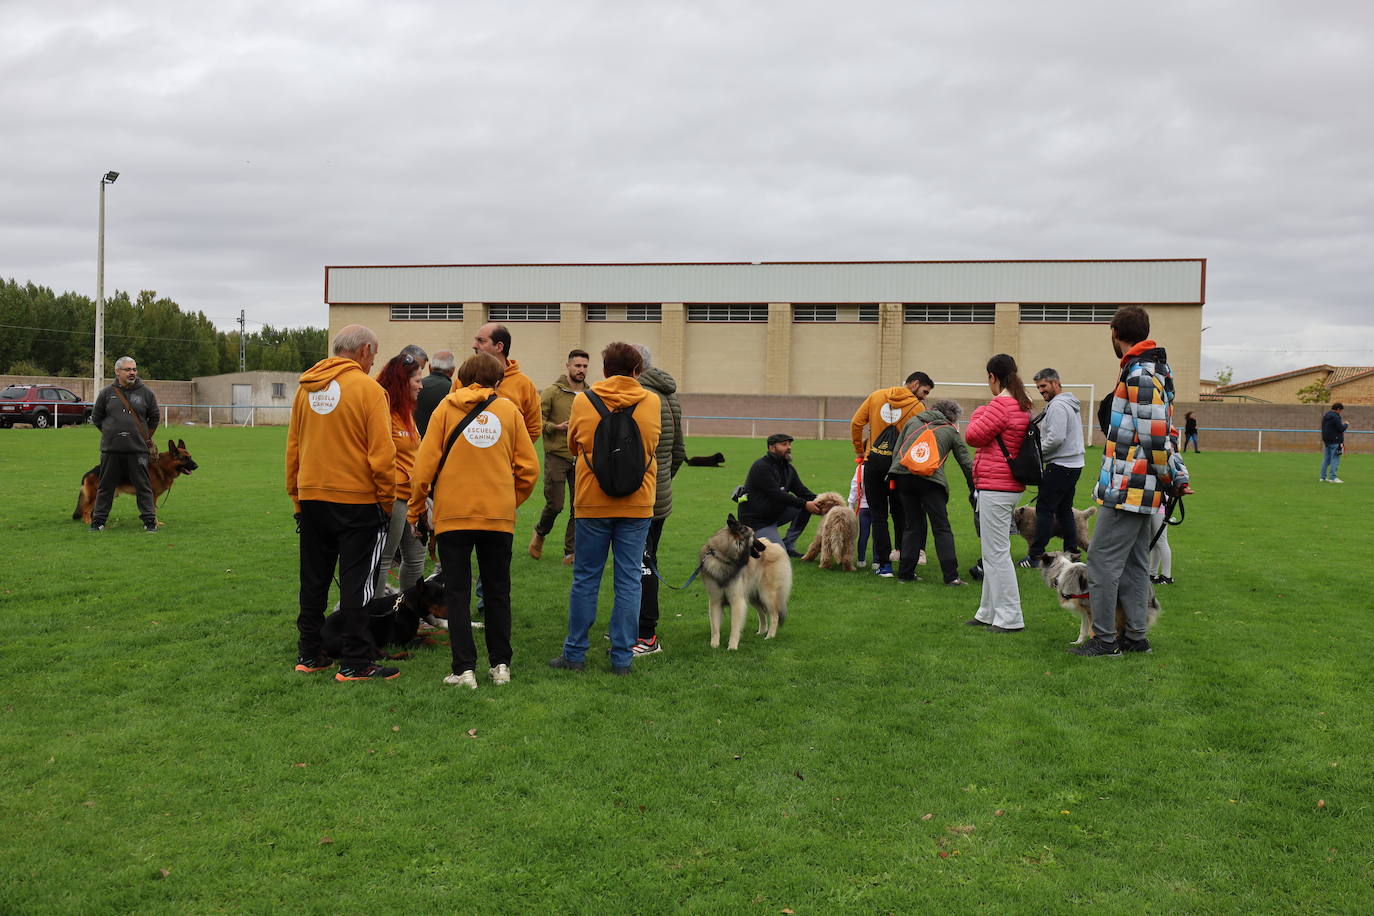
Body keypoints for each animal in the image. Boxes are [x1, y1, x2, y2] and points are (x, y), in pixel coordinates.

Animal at [321, 576, 450, 661]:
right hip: (364, 632)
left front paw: (445, 639)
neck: (407, 605)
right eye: (437, 597)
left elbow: (427, 634)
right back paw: (404, 655)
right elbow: (427, 639)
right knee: (379, 656)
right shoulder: (395, 643)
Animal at [697, 516, 796, 650]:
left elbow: (734, 626)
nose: (763, 547)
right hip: (753, 596)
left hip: (767, 594)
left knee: (774, 615)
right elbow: (715, 626)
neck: (723, 559)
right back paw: (761, 632)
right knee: (762, 613)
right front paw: (714, 645)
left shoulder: (737, 601)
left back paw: (769, 636)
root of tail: (776, 546)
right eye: (753, 536)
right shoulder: (715, 601)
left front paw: (732, 647)